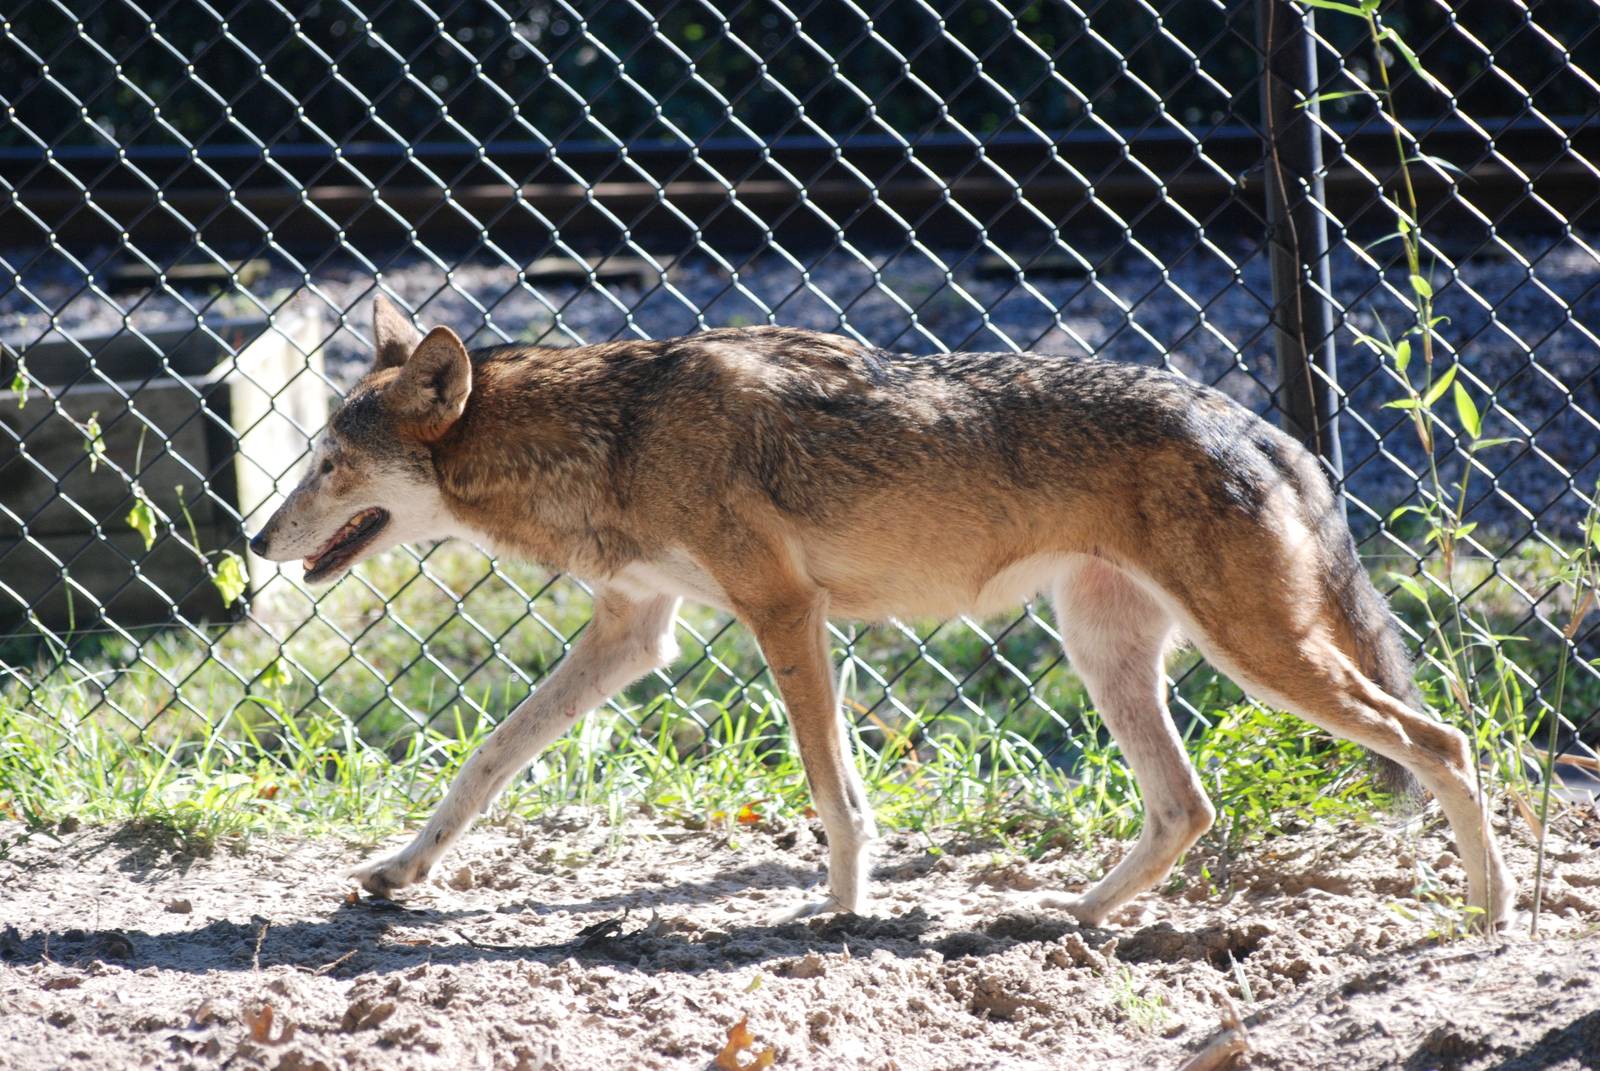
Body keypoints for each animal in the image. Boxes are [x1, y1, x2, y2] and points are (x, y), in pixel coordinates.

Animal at [249, 295, 1514, 928]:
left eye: (327, 465)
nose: (255, 543)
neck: (616, 433)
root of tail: (1258, 423)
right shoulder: (635, 632)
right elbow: (484, 760)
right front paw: (398, 872)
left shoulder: (780, 610)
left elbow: (833, 790)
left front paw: (845, 910)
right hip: (1113, 653)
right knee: (1187, 807)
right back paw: (1061, 918)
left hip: (1256, 654)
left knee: (1444, 741)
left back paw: (1489, 915)